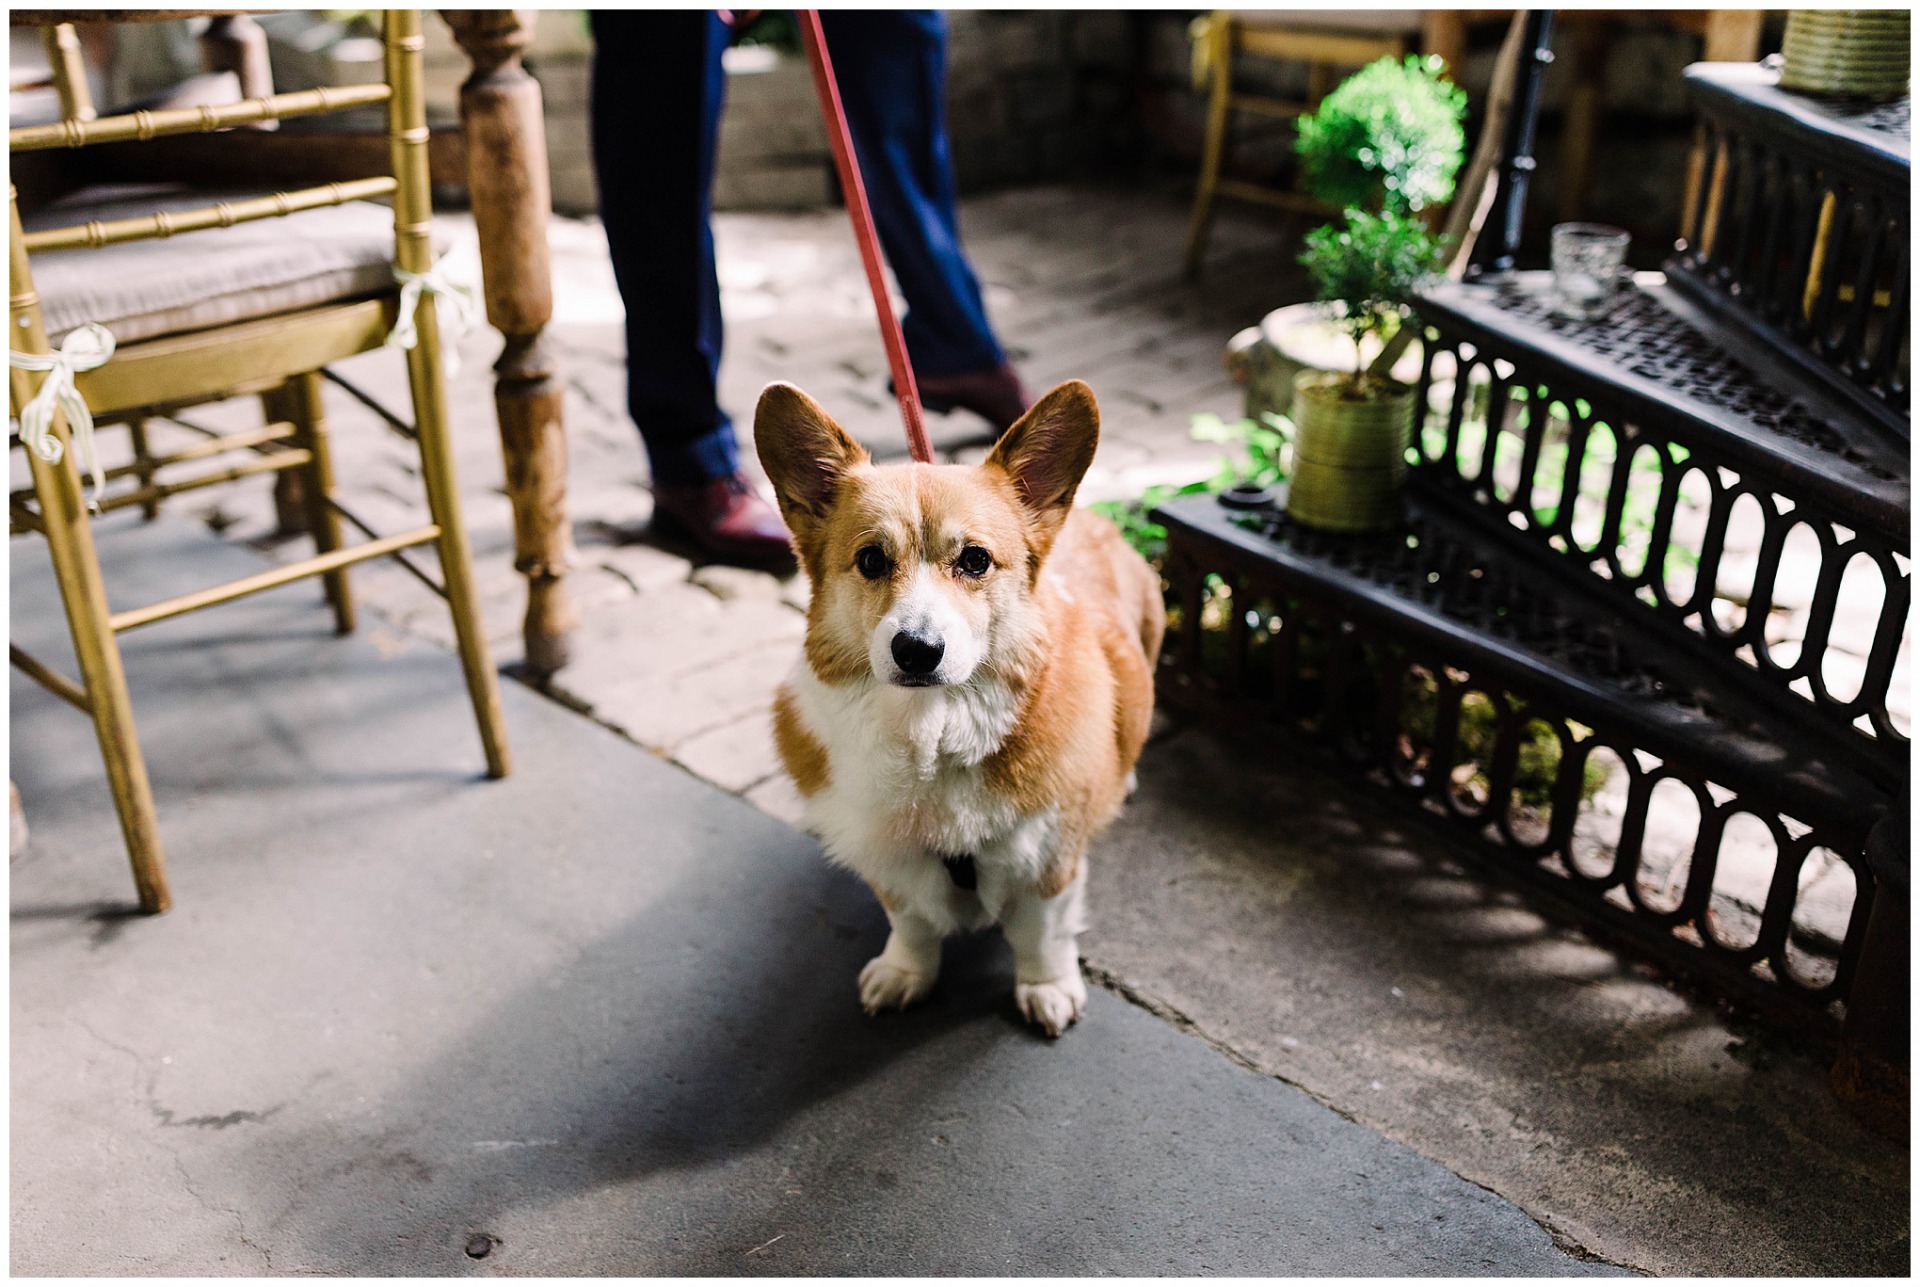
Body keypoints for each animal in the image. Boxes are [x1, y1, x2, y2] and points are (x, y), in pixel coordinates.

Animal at [756, 380, 1159, 1037]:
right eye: (871, 560)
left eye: (974, 560)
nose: (917, 650)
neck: (934, 733)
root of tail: (1090, 513)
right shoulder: (889, 857)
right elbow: (912, 922)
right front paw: (905, 975)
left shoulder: (1049, 860)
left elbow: (1041, 934)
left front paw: (1047, 989)